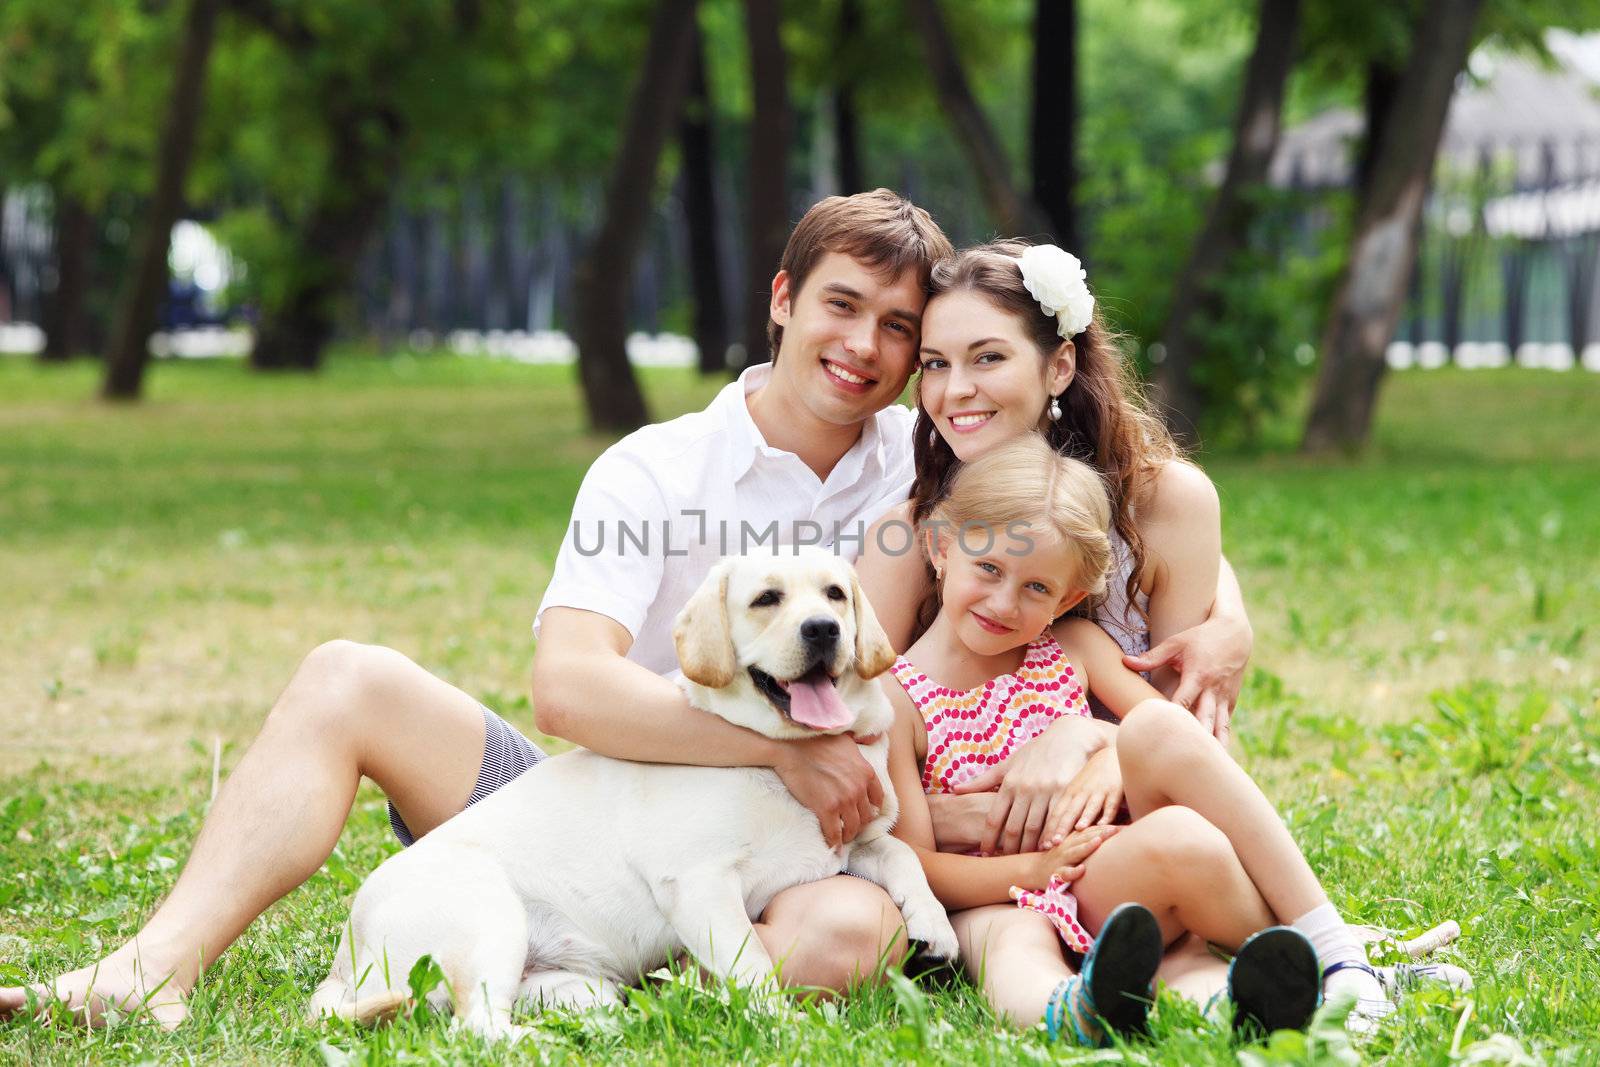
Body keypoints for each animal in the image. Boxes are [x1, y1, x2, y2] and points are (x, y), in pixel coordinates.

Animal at [315, 556, 960, 1036]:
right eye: (766, 599)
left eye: (835, 594)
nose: (824, 628)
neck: (778, 758)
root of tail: (346, 963)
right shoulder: (698, 884)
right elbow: (752, 963)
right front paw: (785, 1025)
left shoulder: (851, 843)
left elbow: (901, 853)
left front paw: (934, 927)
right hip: (488, 917)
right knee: (477, 1029)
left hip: (575, 984)